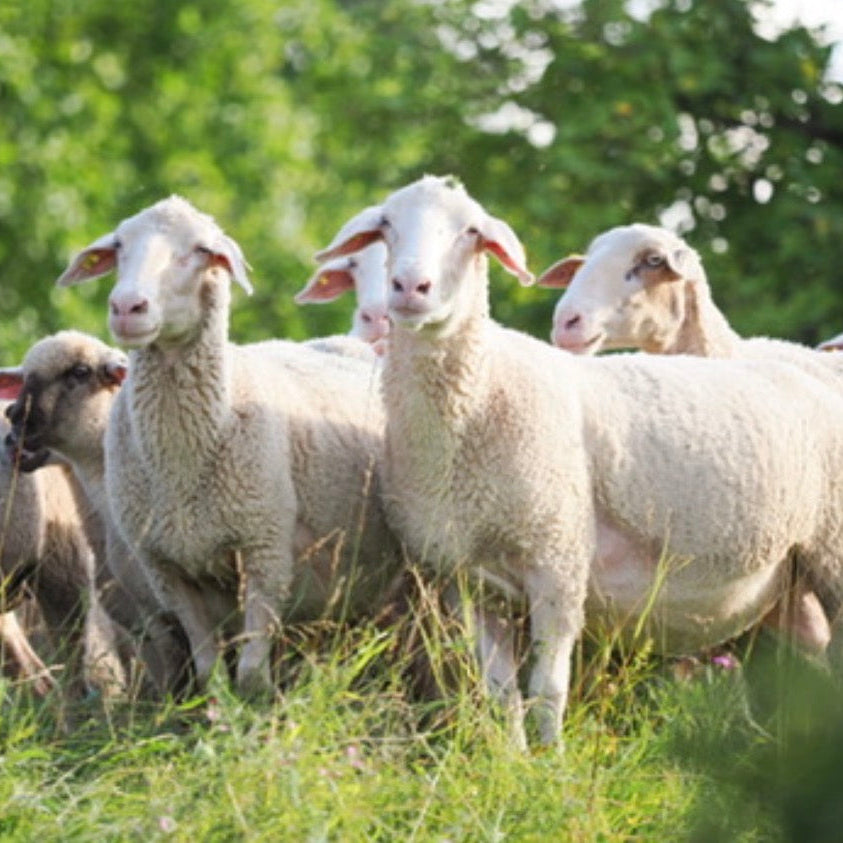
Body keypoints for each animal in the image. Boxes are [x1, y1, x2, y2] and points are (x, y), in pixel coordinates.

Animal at [55, 196, 403, 697]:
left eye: (202, 250)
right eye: (119, 246)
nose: (126, 306)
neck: (181, 462)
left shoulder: (265, 553)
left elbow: (252, 672)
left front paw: (257, 710)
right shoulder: (168, 569)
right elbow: (210, 672)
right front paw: (220, 712)